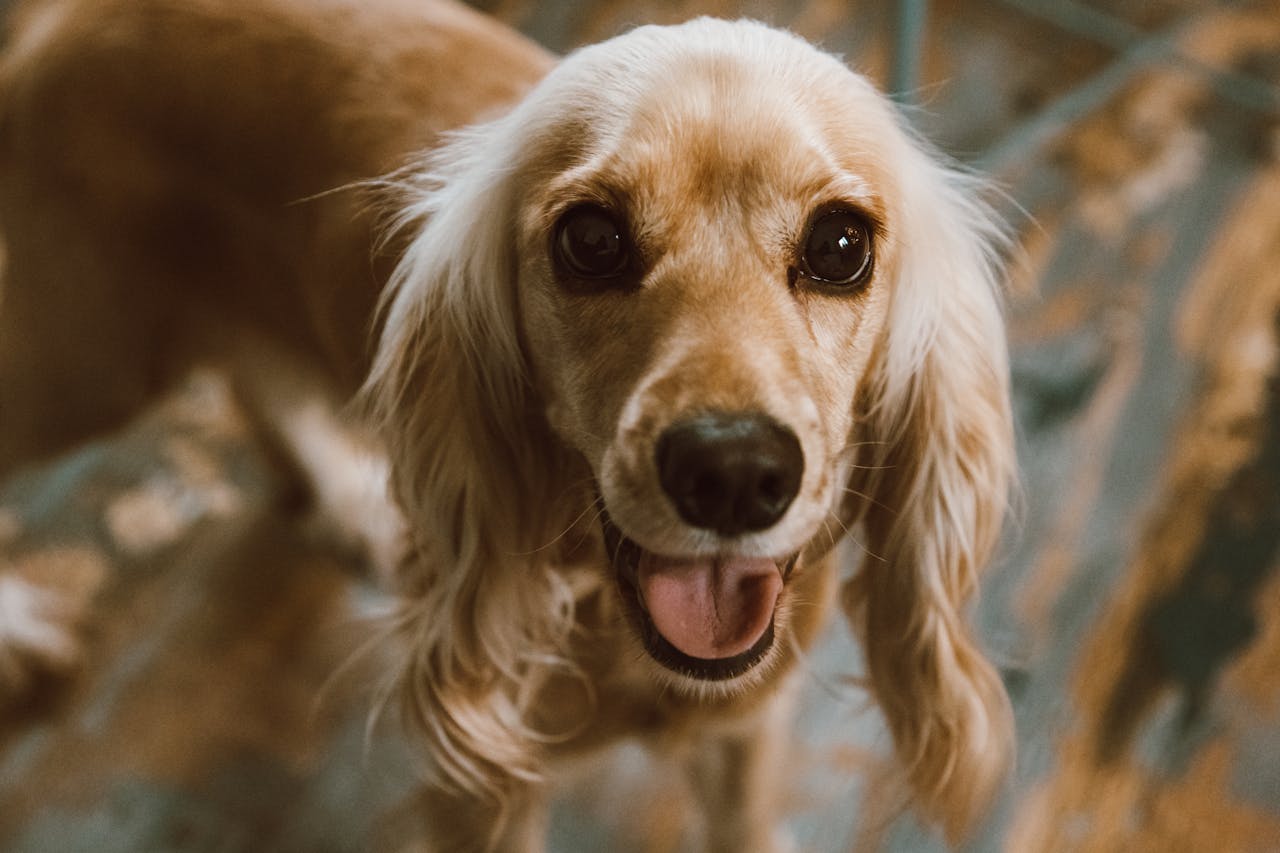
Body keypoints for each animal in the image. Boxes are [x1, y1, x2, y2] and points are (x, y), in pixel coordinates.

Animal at [0, 0, 1018, 845]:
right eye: (592, 239)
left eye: (840, 245)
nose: (732, 473)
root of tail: (70, 13)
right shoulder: (482, 787)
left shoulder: (747, 732)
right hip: (84, 363)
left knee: (257, 381)